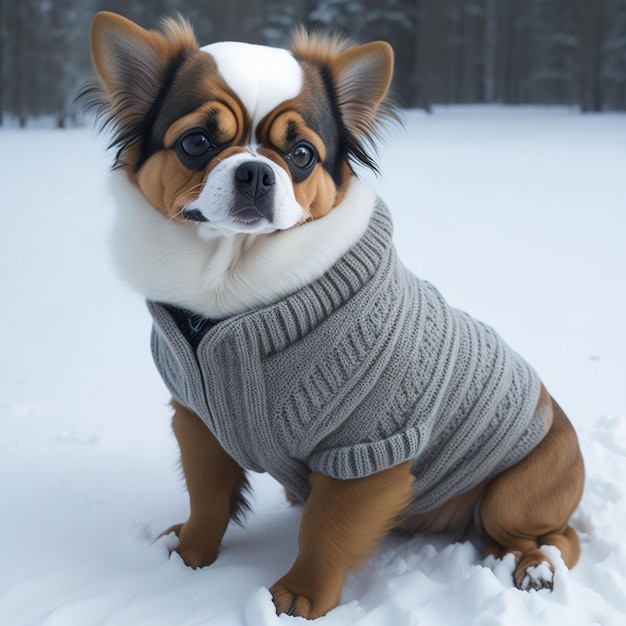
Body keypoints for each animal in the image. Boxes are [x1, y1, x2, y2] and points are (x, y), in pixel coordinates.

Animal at [88, 12, 584, 616]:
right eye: (196, 142)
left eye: (301, 154)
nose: (257, 172)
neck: (231, 286)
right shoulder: (197, 423)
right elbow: (207, 499)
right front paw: (189, 557)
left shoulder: (367, 452)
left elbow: (326, 531)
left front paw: (299, 597)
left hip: (513, 495)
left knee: (555, 536)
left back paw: (533, 567)